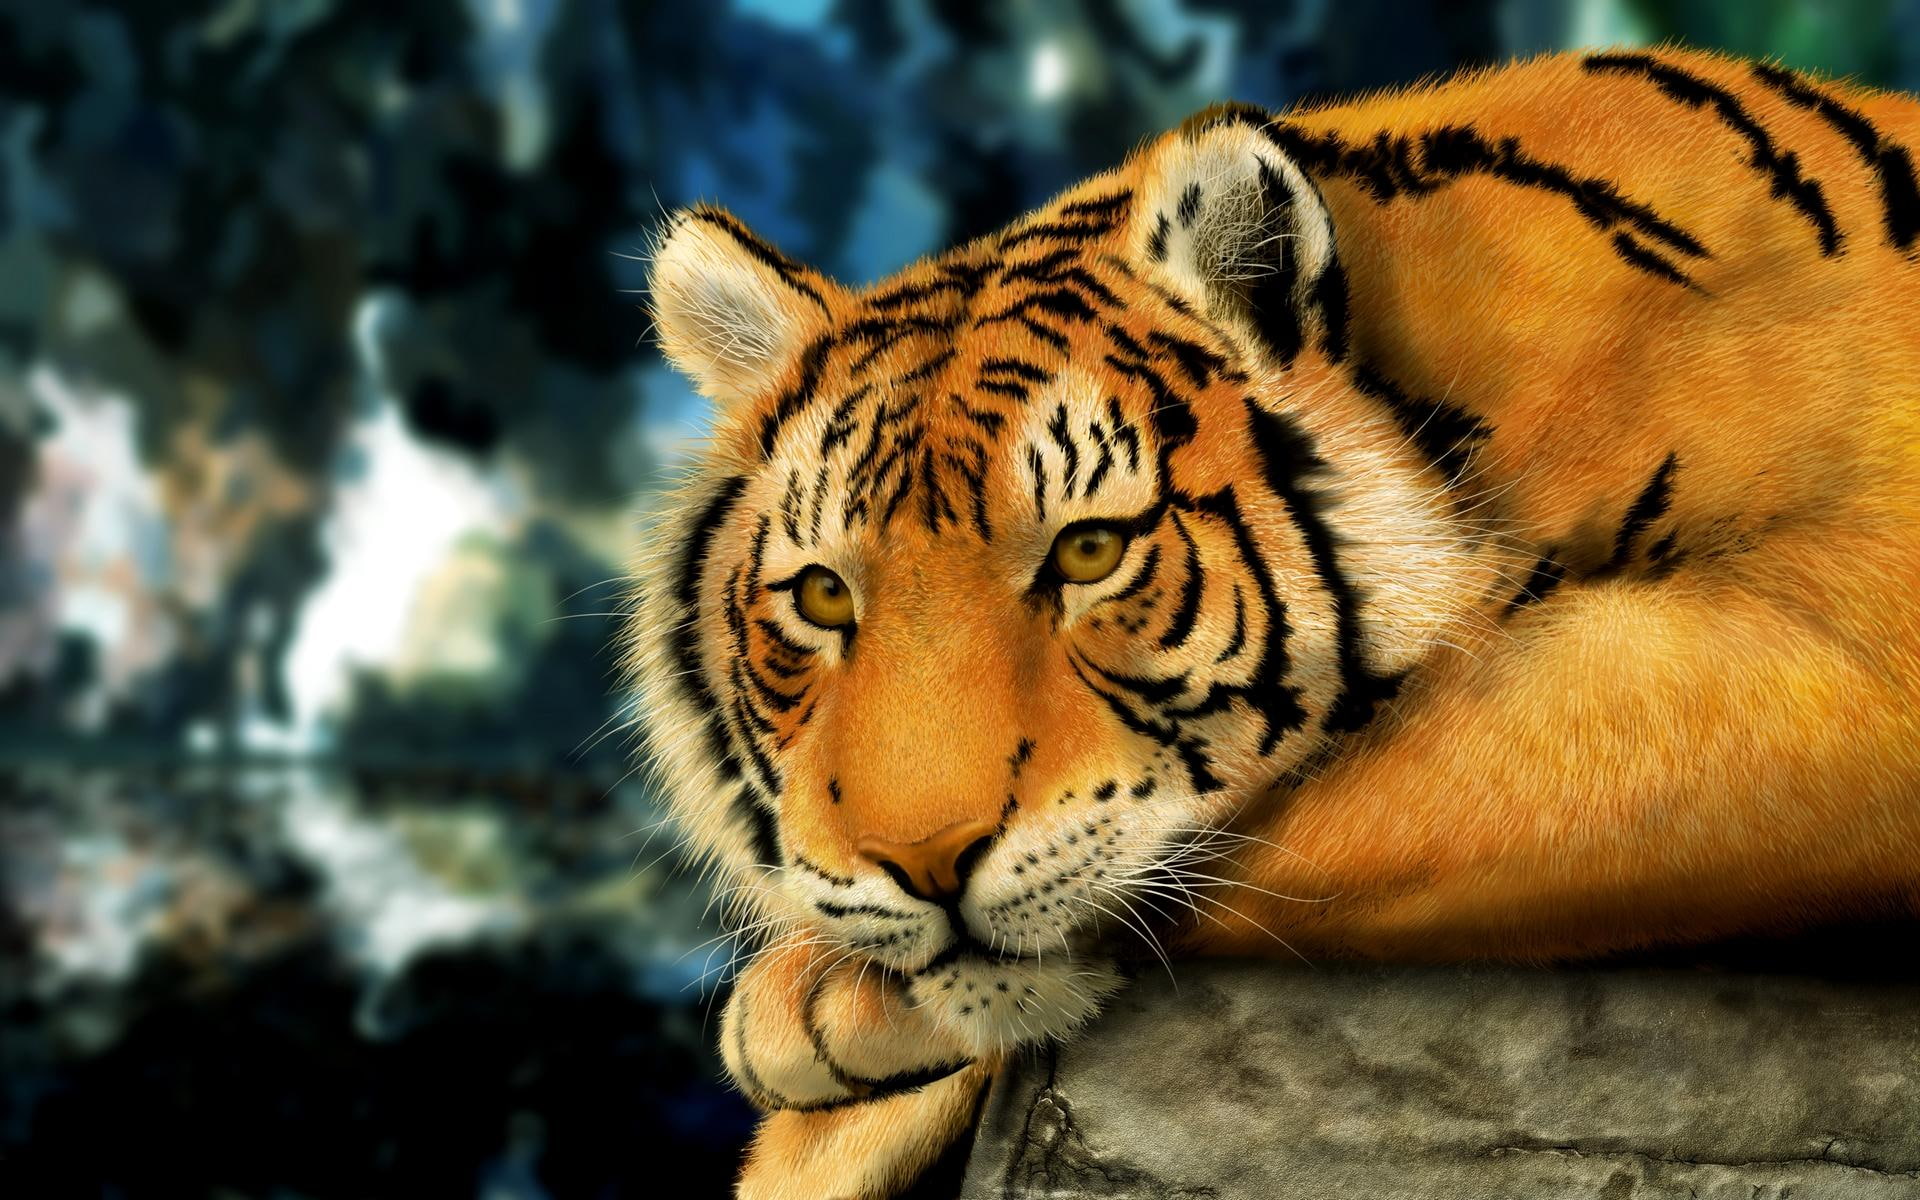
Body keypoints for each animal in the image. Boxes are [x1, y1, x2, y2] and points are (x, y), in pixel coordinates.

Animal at [626, 46, 1920, 1199]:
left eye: (1091, 550)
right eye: (822, 596)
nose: (923, 864)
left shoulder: (1844, 642)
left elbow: (1329, 813)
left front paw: (807, 1016)